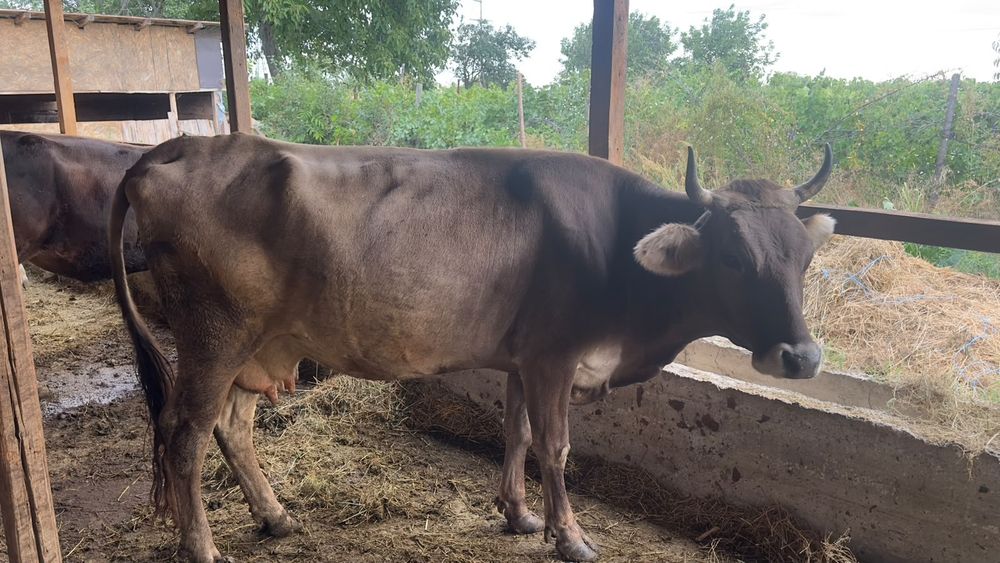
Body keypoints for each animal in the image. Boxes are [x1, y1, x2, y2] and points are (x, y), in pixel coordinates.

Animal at [109, 133, 835, 562]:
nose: (802, 357)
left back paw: (275, 516)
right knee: (183, 435)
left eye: (804, 256)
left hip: (257, 346)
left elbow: (516, 432)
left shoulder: (522, 357)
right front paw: (570, 536)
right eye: (735, 259)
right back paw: (203, 548)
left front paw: (517, 513)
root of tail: (188, 144)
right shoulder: (553, 357)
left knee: (231, 426)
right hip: (214, 337)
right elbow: (555, 446)